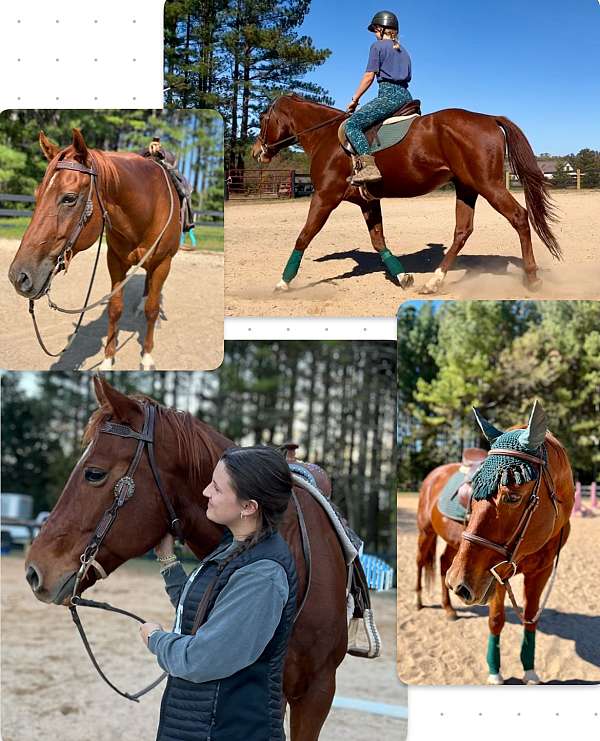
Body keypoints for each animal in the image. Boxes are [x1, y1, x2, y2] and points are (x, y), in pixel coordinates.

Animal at [7, 132, 180, 370]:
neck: (148, 208)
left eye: (69, 198)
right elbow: (115, 309)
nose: (18, 276)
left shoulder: (163, 263)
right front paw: (107, 359)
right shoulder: (115, 261)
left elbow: (152, 310)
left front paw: (147, 357)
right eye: (37, 194)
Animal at [251, 95, 560, 294]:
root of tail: (489, 119)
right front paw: (402, 277)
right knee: (462, 231)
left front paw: (283, 282)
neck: (327, 136)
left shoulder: (325, 197)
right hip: (467, 188)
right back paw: (434, 282)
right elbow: (378, 241)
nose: (256, 152)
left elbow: (304, 236)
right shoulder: (368, 202)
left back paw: (532, 278)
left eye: (263, 118)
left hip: (488, 185)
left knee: (519, 217)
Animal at [414, 402, 576, 684]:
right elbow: (496, 619)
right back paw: (419, 601)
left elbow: (531, 619)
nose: (461, 585)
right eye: (473, 492)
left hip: (454, 545)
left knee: (444, 564)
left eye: (512, 496)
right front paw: (494, 671)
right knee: (420, 561)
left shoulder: (540, 572)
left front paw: (529, 670)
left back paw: (448, 608)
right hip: (427, 532)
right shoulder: (496, 573)